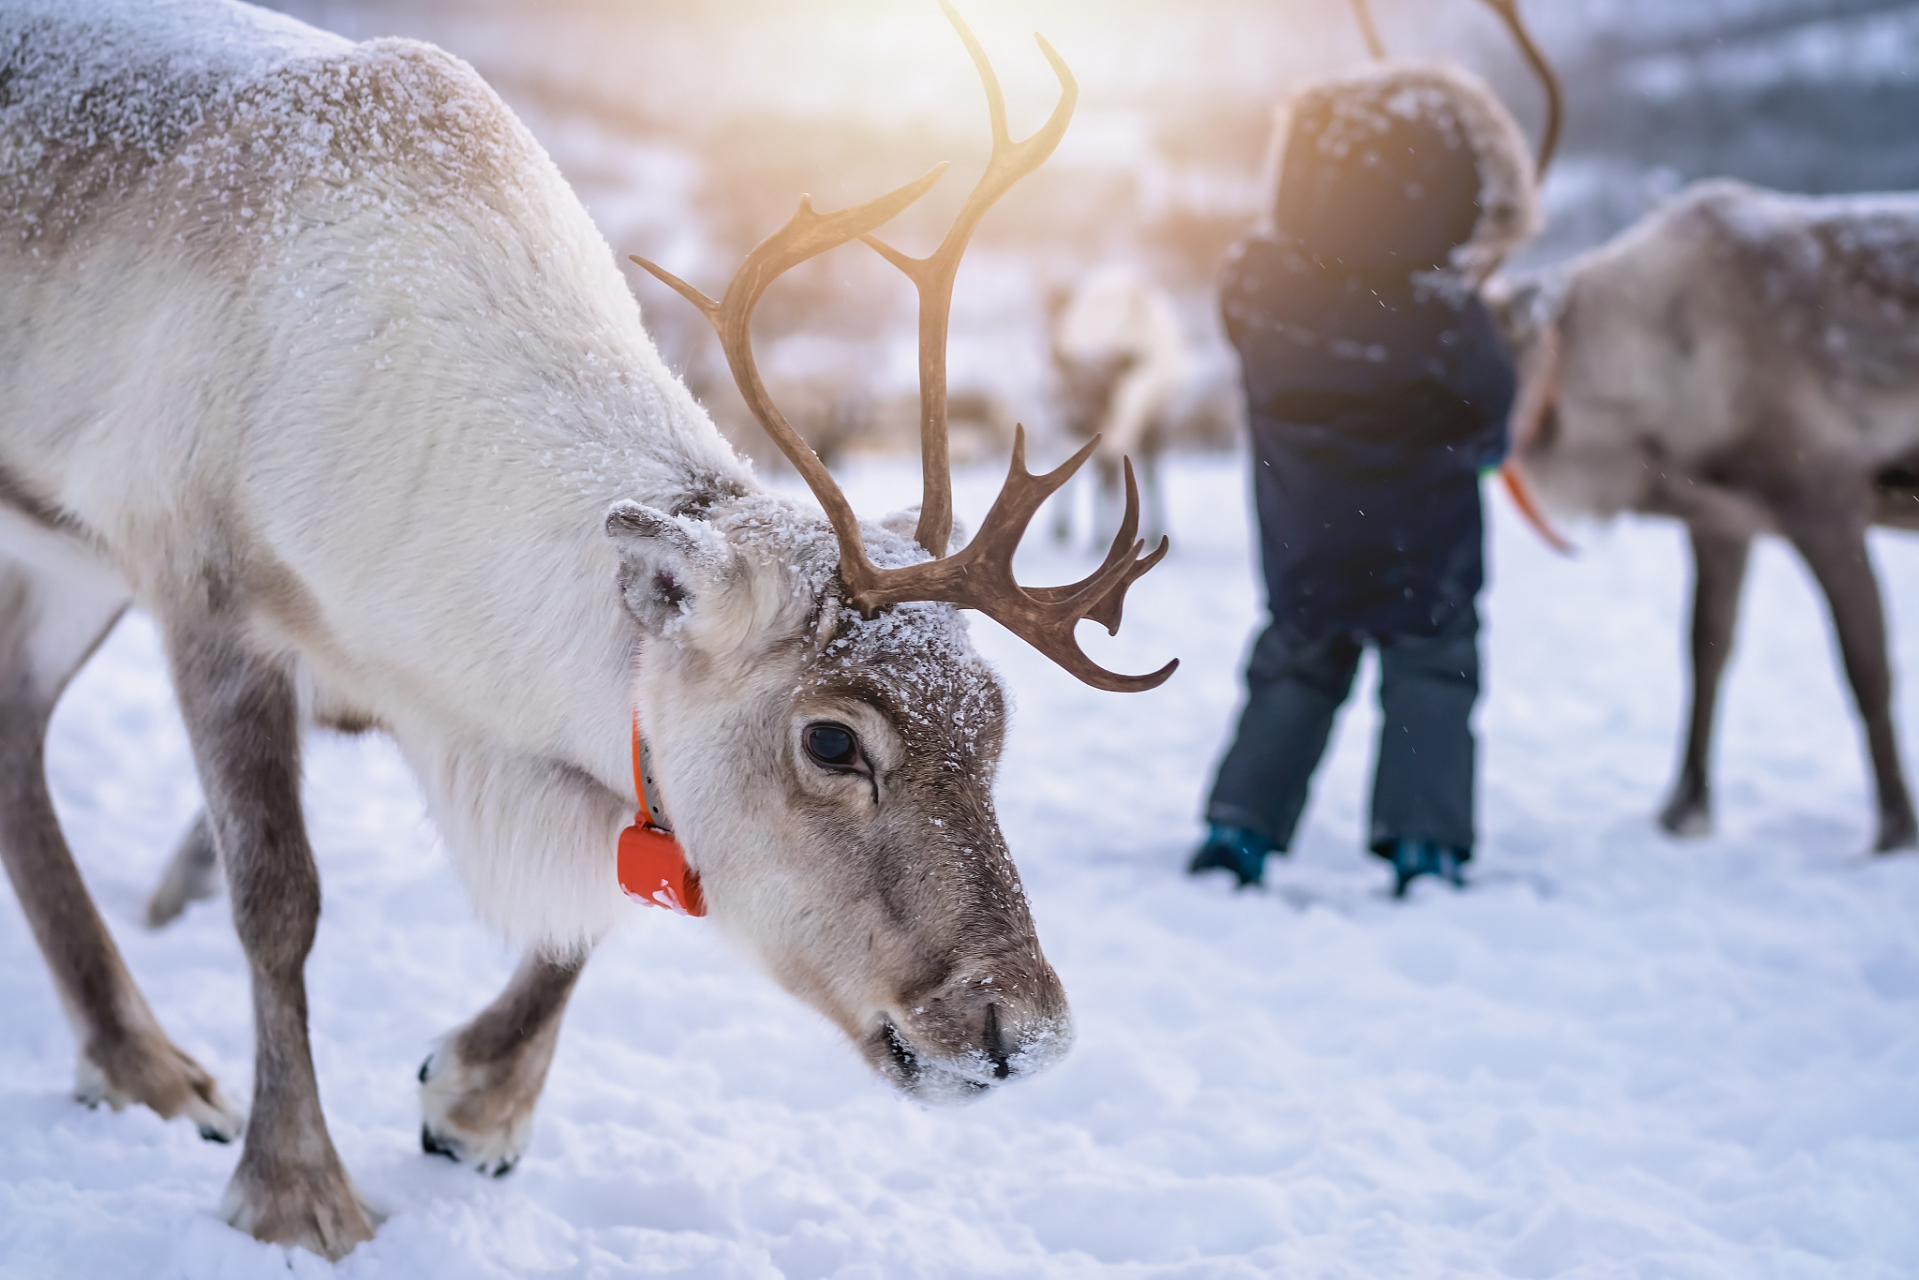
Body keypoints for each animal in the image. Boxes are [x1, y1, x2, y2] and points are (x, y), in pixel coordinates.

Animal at [0, 0, 1172, 1260]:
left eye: (998, 718)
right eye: (831, 739)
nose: (1022, 1030)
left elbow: (604, 892)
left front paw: (474, 1100)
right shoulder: (203, 591)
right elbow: (276, 899)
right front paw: (296, 1189)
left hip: (69, 562)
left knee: (16, 724)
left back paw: (129, 1058)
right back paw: (154, 1068)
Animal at [1495, 178, 1919, 853]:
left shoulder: (1825, 501)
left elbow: (1867, 667)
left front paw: (1896, 827)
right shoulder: (1721, 520)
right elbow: (1705, 652)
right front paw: (1685, 807)